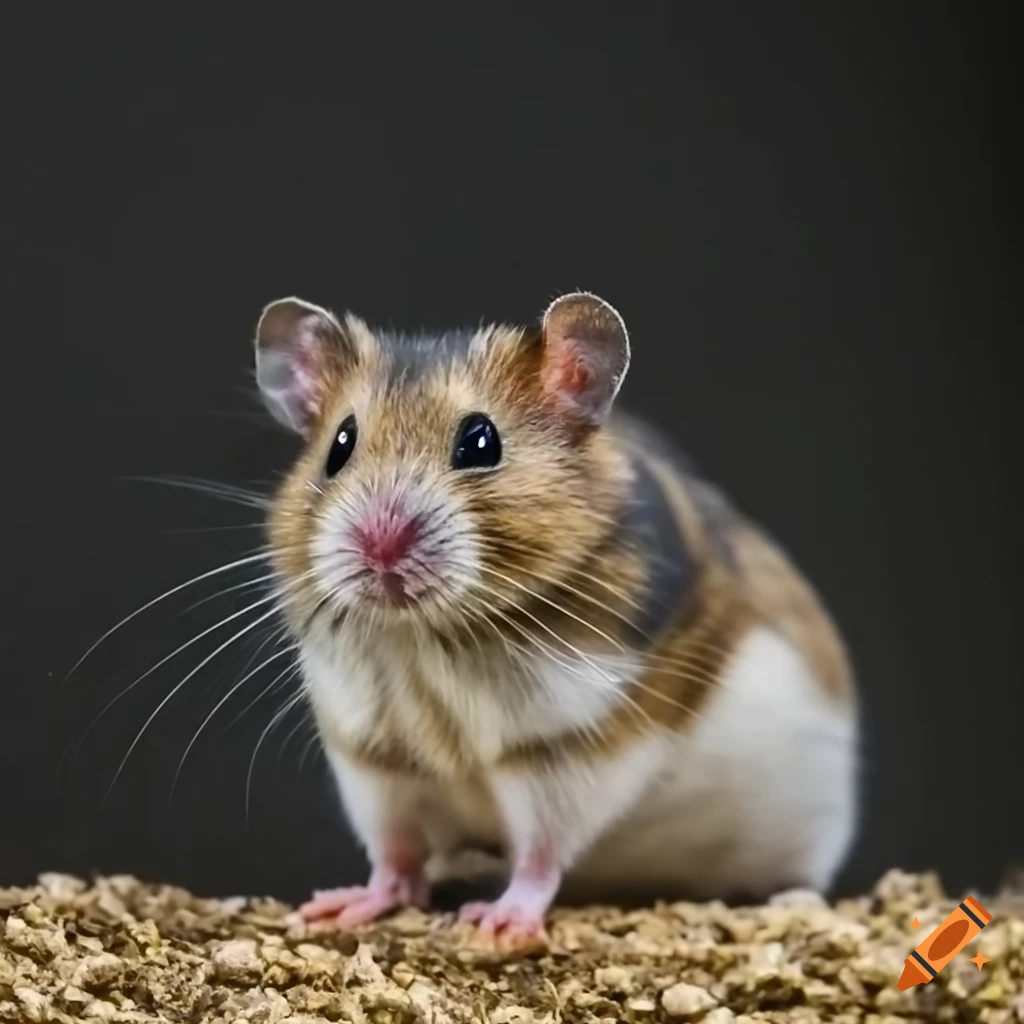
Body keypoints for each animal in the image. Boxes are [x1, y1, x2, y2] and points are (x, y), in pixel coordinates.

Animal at [253, 291, 859, 949]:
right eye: (339, 445)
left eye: (480, 443)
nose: (379, 548)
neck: (424, 639)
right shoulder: (373, 762)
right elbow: (394, 852)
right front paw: (336, 908)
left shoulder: (572, 750)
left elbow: (541, 852)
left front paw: (499, 925)